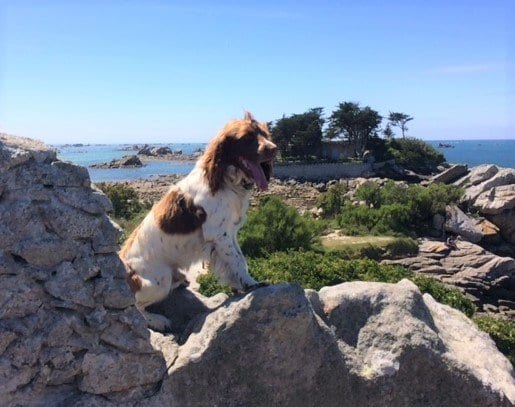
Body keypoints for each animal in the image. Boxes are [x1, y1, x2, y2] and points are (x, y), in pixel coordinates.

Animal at [120, 112, 278, 332]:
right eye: (247, 138)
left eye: (265, 134)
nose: (274, 148)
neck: (225, 181)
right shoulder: (219, 234)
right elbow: (238, 261)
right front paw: (251, 284)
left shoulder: (230, 233)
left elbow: (238, 259)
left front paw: (241, 285)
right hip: (160, 280)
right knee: (134, 308)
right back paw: (157, 320)